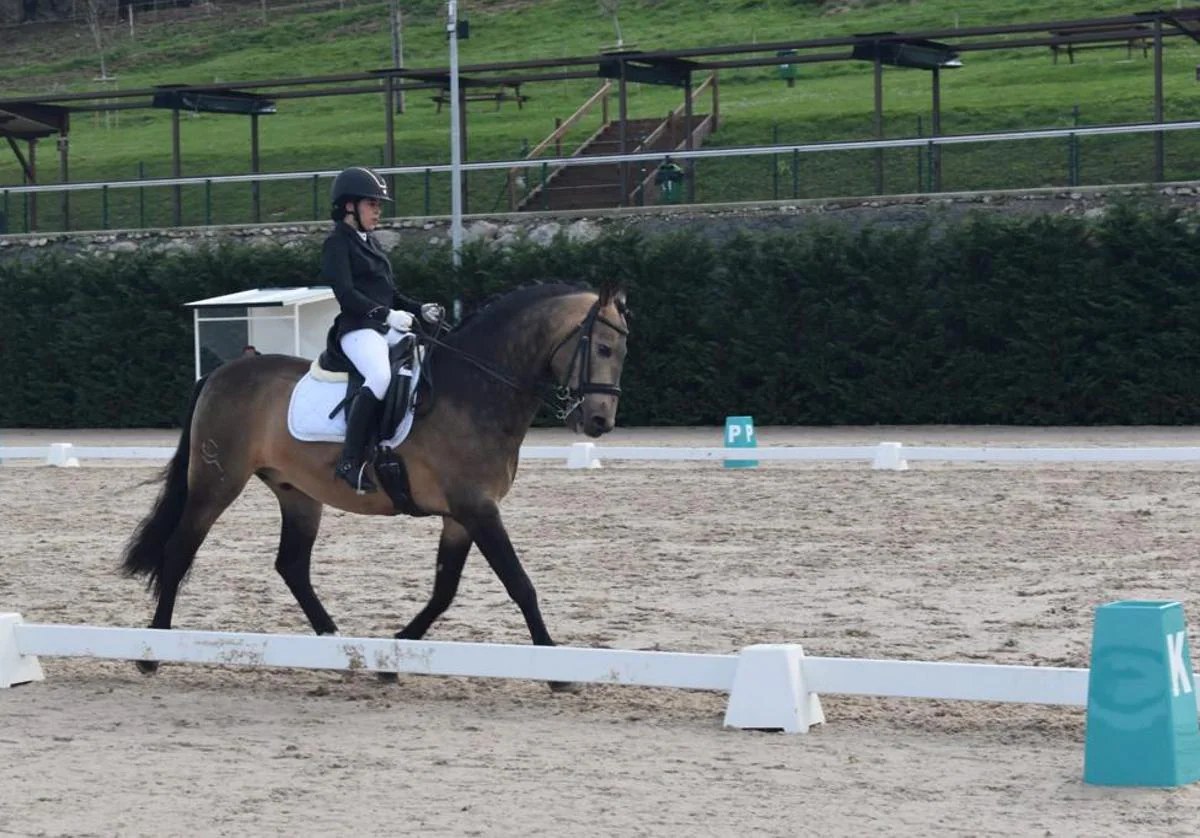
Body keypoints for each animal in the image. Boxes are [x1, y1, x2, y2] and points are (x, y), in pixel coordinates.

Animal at [117, 277, 633, 686]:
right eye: (603, 348)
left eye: (623, 352)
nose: (599, 422)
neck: (474, 392)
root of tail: (220, 373)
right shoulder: (477, 508)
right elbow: (520, 584)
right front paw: (554, 667)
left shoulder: (461, 516)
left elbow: (444, 590)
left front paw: (396, 652)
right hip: (216, 483)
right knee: (179, 551)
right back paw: (152, 651)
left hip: (297, 493)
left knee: (292, 565)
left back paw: (332, 639)